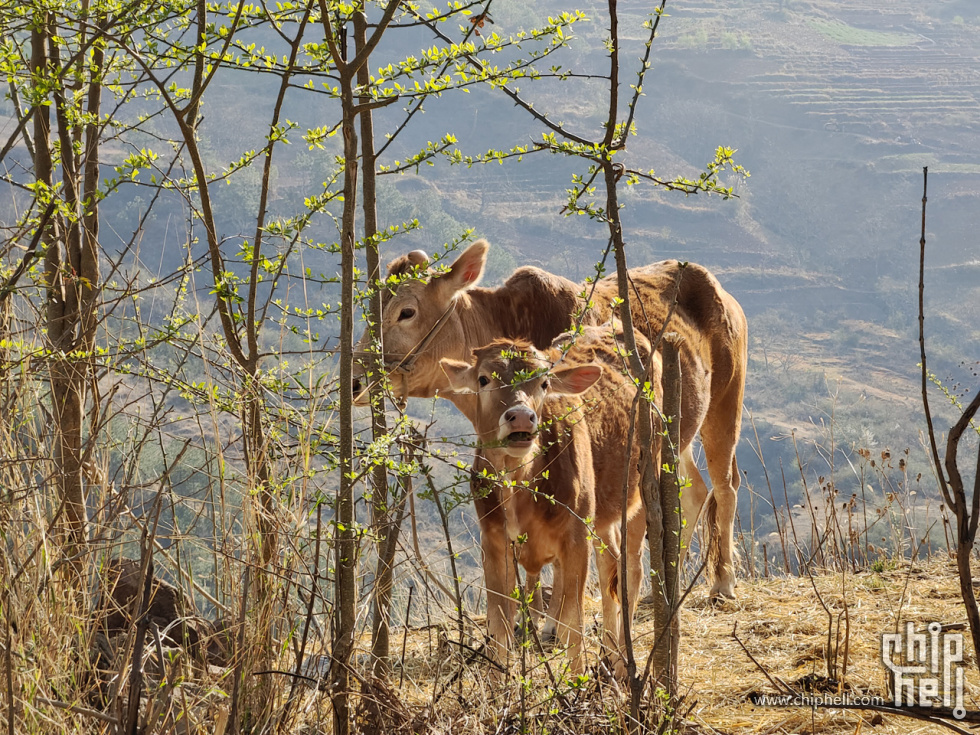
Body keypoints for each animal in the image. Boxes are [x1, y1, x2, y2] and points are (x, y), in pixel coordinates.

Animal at [356, 242, 748, 604]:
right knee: (693, 490)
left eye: (406, 312)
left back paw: (723, 582)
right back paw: (665, 587)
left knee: (725, 485)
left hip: (725, 404)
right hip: (676, 435)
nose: (358, 381)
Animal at [440, 340, 600, 672]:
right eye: (483, 379)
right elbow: (500, 625)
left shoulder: (579, 537)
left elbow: (574, 624)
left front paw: (578, 681)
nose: (522, 417)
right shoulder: (493, 542)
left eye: (544, 383)